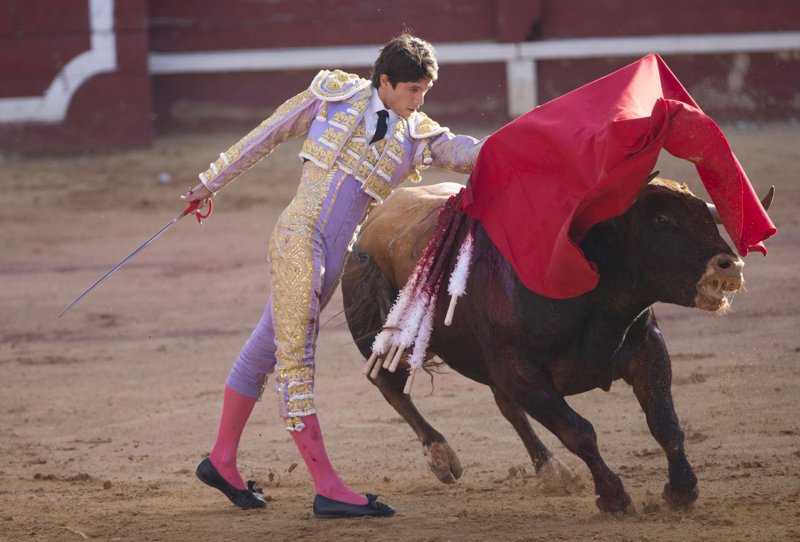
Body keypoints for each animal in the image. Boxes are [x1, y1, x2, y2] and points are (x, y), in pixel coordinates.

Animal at [341, 177, 770, 515]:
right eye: (662, 219)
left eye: (704, 213)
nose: (730, 265)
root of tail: (374, 219)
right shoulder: (522, 371)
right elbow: (579, 431)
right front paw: (614, 498)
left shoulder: (647, 349)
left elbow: (665, 423)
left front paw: (682, 490)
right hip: (381, 334)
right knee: (392, 388)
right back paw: (441, 456)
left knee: (507, 407)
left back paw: (550, 469)